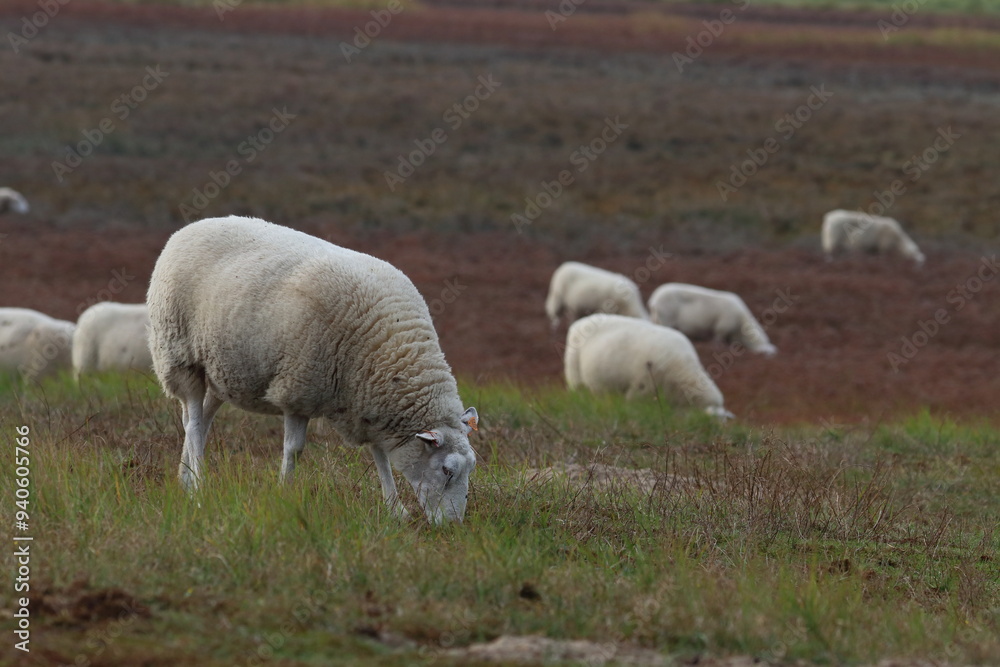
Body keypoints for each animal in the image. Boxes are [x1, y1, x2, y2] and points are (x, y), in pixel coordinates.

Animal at [147, 216, 479, 524]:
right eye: (447, 471)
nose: (453, 525)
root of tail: (189, 228)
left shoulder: (367, 403)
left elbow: (380, 455)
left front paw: (394, 509)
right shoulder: (298, 389)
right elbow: (294, 449)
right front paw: (284, 494)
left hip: (221, 373)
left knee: (200, 420)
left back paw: (185, 481)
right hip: (180, 357)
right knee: (193, 424)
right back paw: (198, 488)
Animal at [647, 283, 777, 356]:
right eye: (768, 355)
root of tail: (654, 299)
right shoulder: (723, 326)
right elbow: (718, 339)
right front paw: (717, 348)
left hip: (656, 317)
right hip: (665, 317)